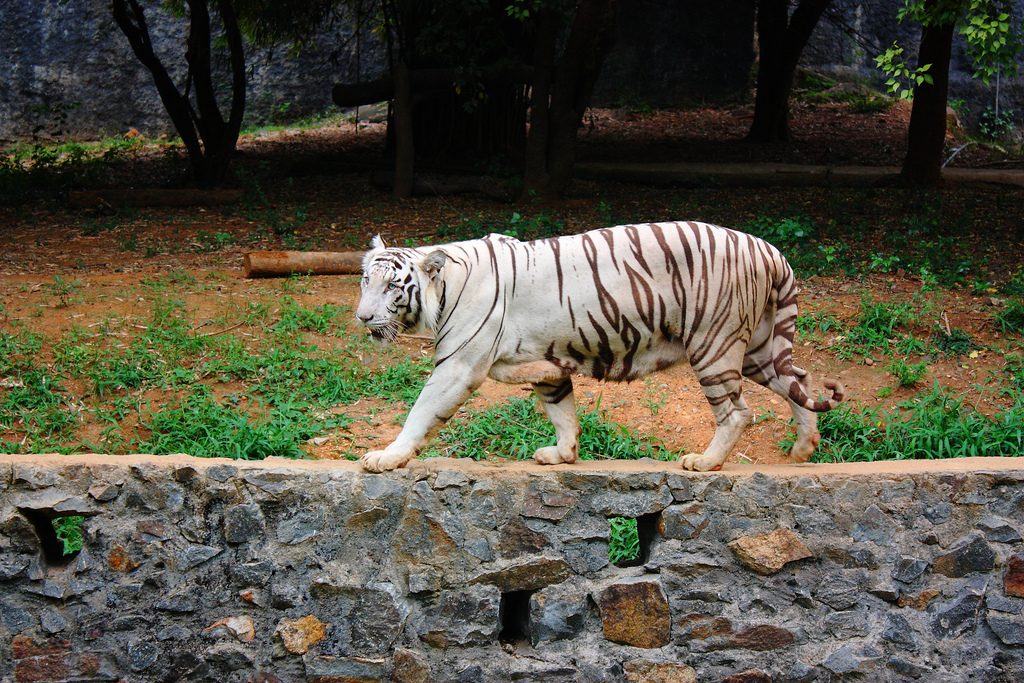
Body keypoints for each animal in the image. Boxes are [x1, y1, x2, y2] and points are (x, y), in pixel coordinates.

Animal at [356, 222, 843, 473]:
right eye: (365, 280)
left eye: (393, 286)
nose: (362, 317)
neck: (444, 289)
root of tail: (770, 250)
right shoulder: (544, 361)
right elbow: (561, 410)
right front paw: (563, 455)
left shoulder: (457, 365)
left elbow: (420, 412)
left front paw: (386, 457)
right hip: (760, 347)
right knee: (798, 381)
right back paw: (804, 449)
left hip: (714, 343)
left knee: (738, 411)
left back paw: (705, 462)